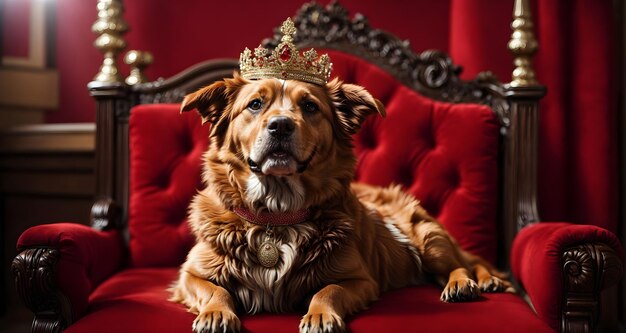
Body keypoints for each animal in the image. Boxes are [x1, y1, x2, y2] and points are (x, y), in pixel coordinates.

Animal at [168, 70, 510, 332]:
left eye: (309, 106)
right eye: (254, 104)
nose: (281, 125)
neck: (276, 213)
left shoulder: (360, 279)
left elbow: (327, 290)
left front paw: (320, 315)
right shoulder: (189, 275)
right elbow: (215, 290)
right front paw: (216, 312)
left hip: (427, 239)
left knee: (460, 264)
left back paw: (466, 283)